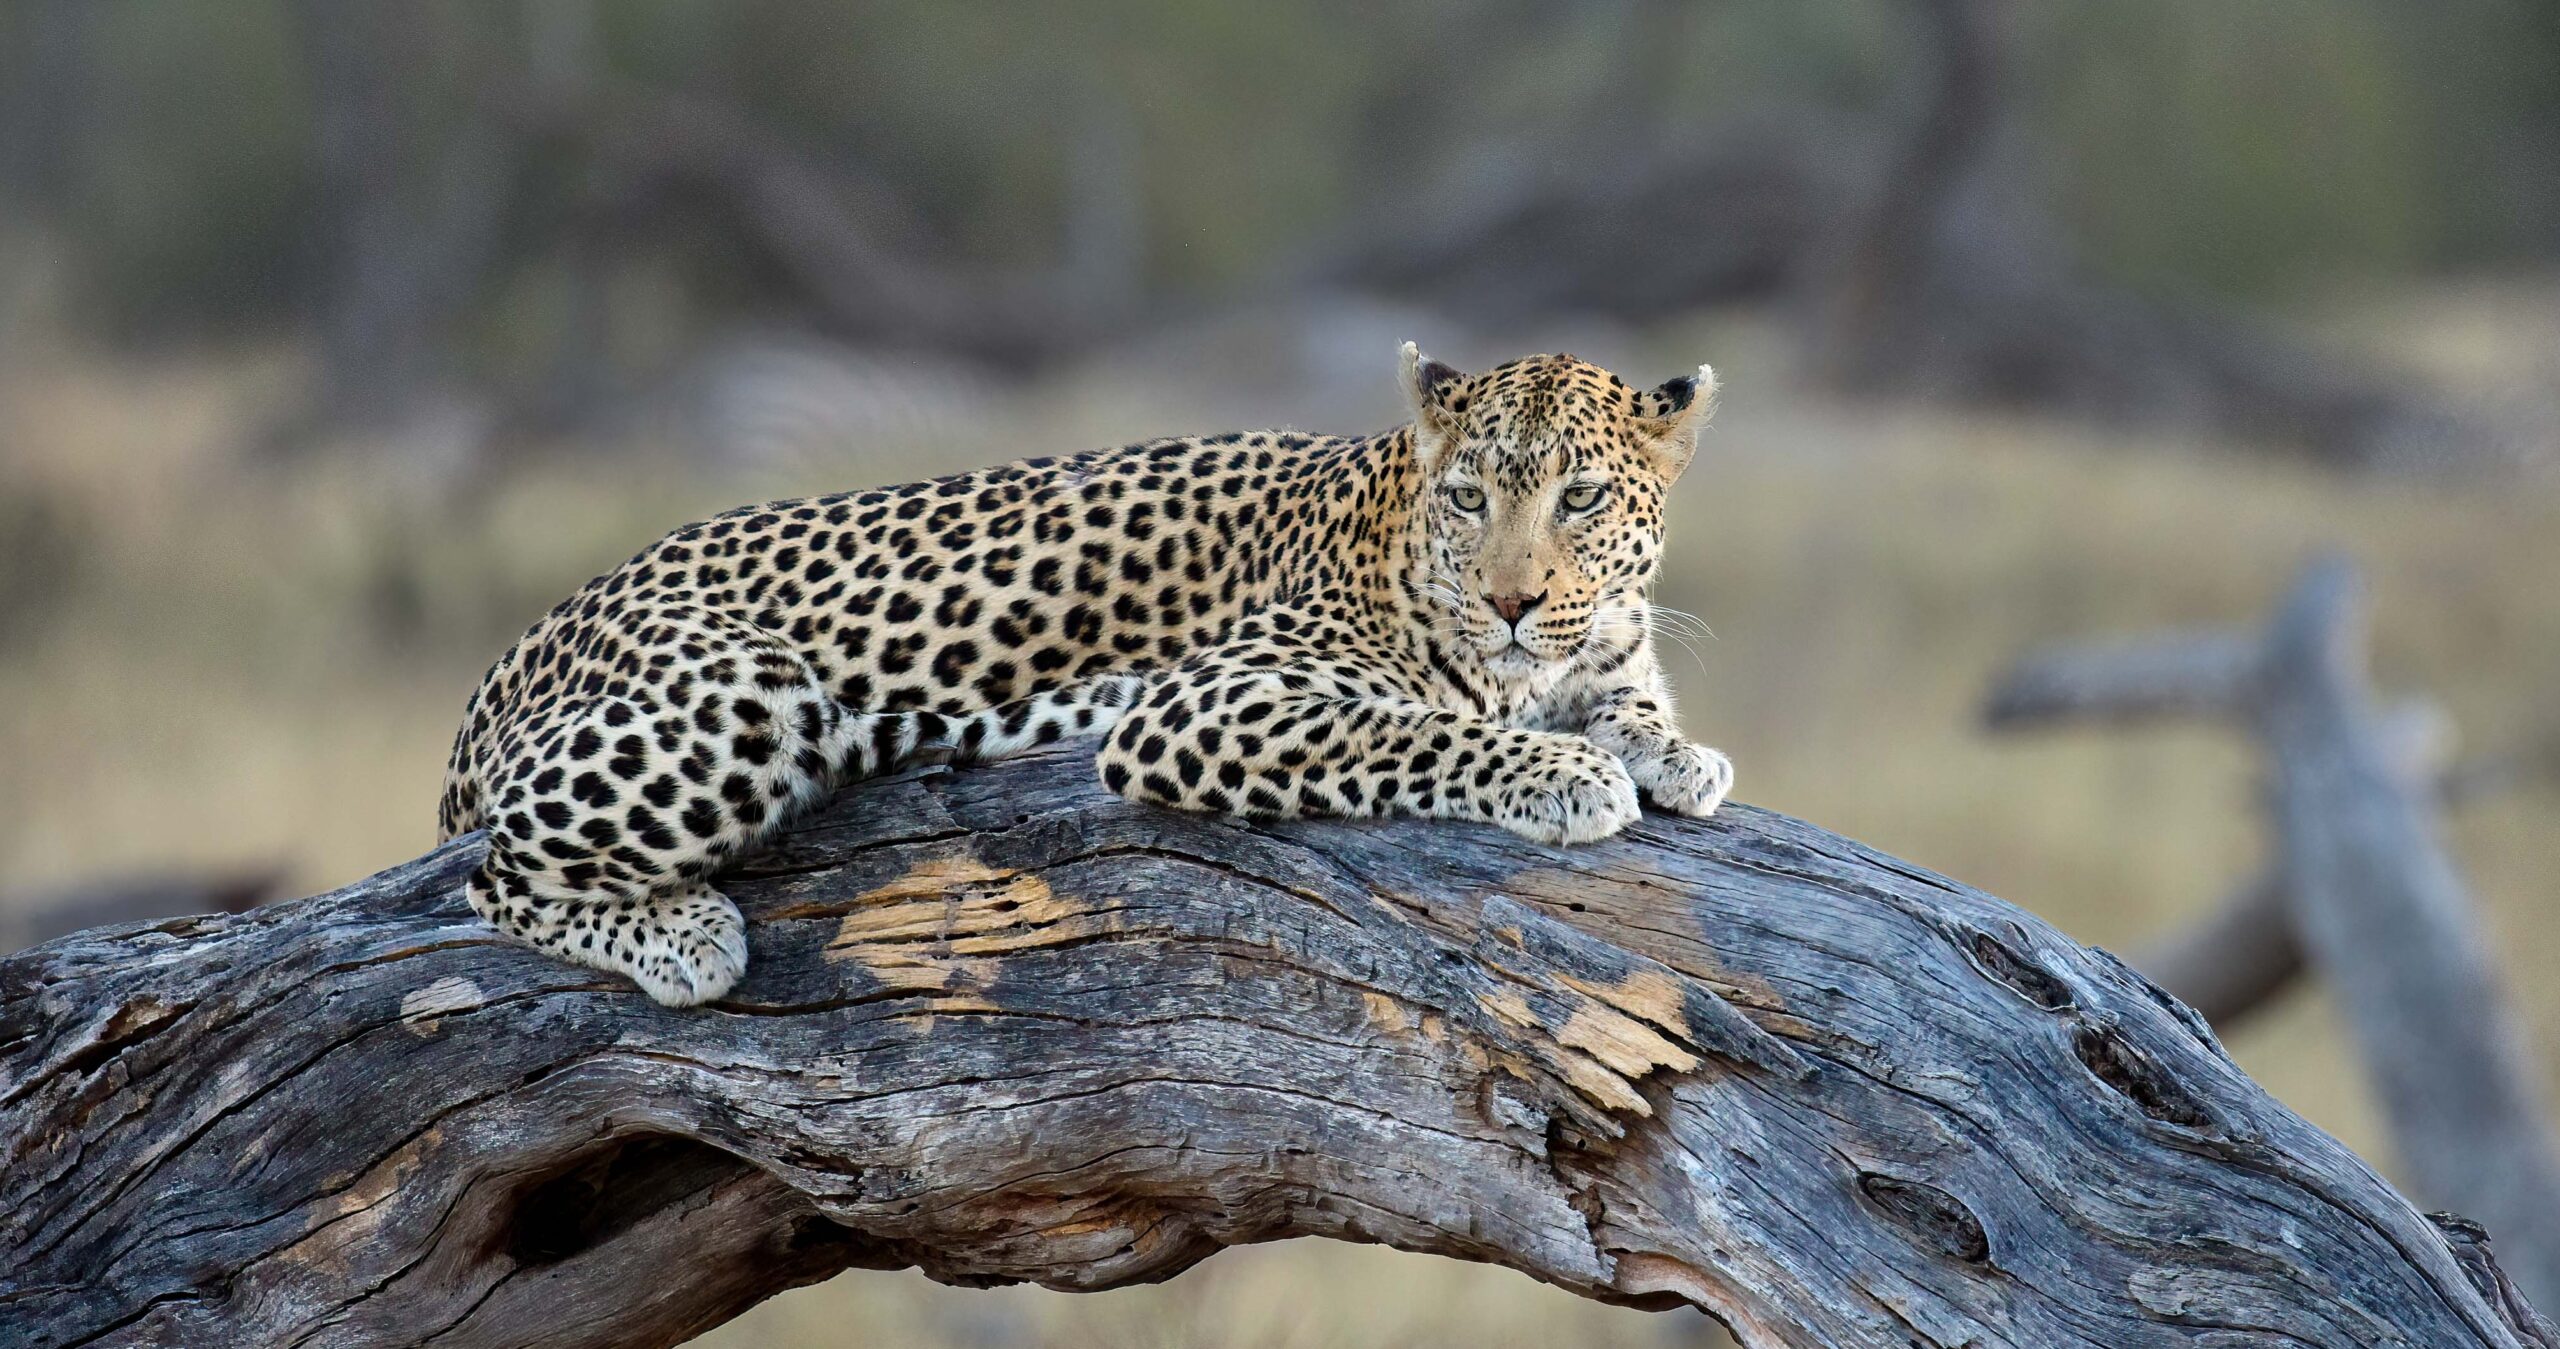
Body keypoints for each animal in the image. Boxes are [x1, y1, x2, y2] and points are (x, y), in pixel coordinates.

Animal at [445, 348, 1740, 1003]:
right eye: (1470, 496)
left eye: (1583, 495)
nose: (1510, 599)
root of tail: (521, 644)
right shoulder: (1205, 701)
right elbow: (1415, 729)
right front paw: (1561, 773)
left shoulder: (1600, 647)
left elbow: (1627, 698)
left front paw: (1671, 751)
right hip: (743, 701)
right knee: (489, 873)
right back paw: (684, 937)